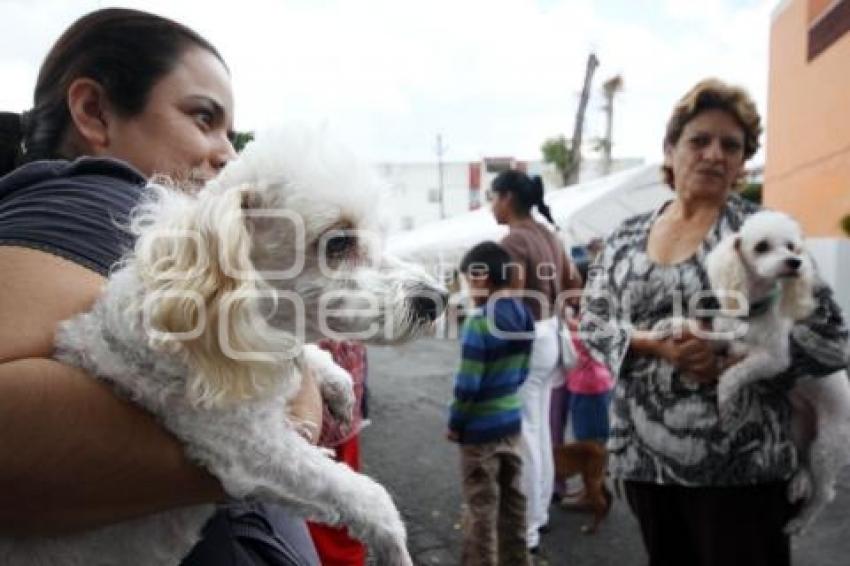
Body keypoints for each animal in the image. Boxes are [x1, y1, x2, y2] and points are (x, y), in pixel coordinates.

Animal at [0, 126, 448, 564]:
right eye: (338, 242)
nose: (437, 300)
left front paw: (336, 383)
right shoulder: (248, 446)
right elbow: (368, 497)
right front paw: (394, 549)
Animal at [704, 212, 848, 536]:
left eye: (792, 247)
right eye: (762, 246)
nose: (795, 262)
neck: (754, 313)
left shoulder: (774, 359)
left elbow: (734, 375)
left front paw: (725, 402)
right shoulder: (725, 335)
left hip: (828, 445)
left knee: (825, 492)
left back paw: (799, 523)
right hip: (798, 428)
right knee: (803, 462)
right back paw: (797, 483)